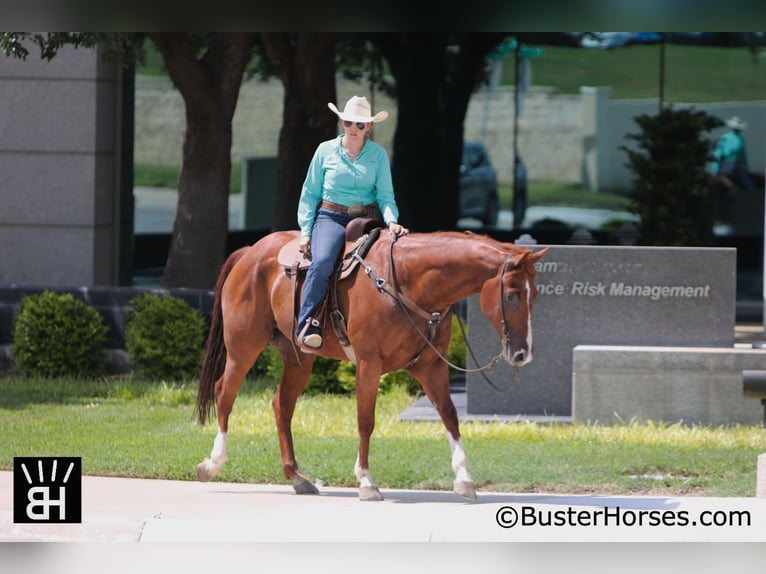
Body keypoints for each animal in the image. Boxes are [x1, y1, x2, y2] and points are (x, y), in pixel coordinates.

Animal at [195, 232, 548, 502]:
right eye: (512, 295)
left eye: (534, 295)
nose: (522, 353)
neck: (406, 282)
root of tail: (249, 252)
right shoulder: (368, 364)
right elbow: (366, 421)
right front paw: (366, 481)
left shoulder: (431, 366)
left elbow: (450, 416)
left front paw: (463, 477)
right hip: (244, 348)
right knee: (224, 393)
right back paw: (212, 464)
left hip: (298, 358)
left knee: (281, 404)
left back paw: (297, 477)